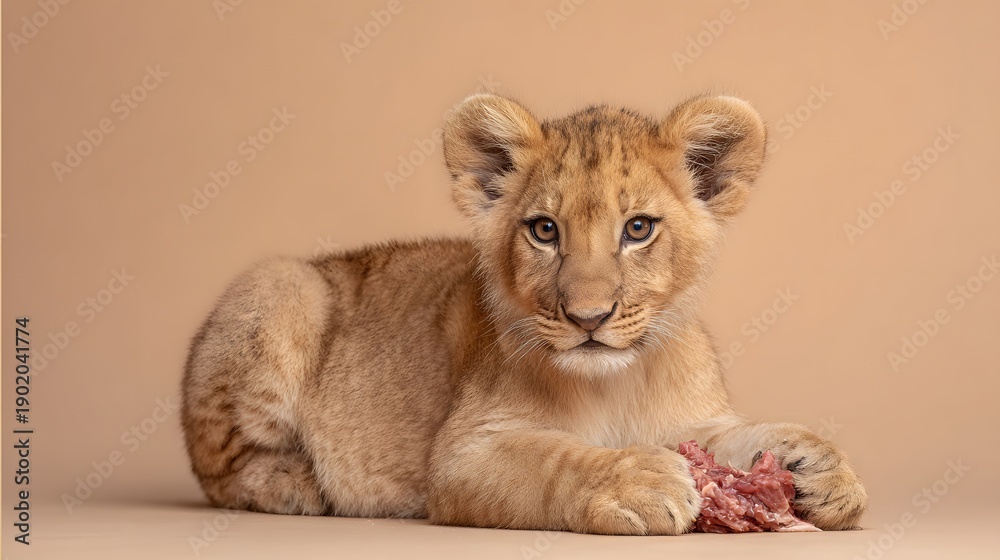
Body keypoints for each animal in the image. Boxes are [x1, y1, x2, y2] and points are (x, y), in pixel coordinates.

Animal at [181, 93, 867, 535]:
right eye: (544, 230)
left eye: (637, 228)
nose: (589, 317)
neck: (618, 382)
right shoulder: (462, 457)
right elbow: (556, 460)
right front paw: (638, 480)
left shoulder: (696, 420)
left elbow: (743, 437)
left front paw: (823, 470)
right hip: (279, 285)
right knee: (218, 465)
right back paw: (298, 482)